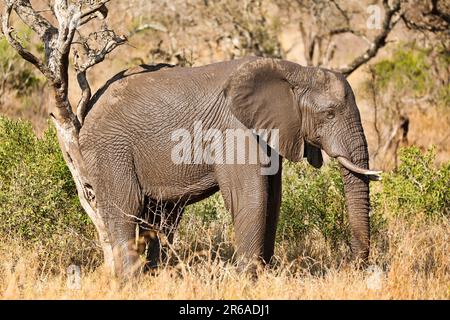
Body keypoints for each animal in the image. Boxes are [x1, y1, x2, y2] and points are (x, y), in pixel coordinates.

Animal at [80, 57, 380, 278]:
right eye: (329, 114)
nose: (350, 267)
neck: (293, 71)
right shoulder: (234, 129)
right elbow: (251, 196)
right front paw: (247, 280)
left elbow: (273, 199)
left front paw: (264, 275)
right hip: (110, 150)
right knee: (126, 208)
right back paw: (131, 282)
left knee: (163, 217)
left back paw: (158, 277)